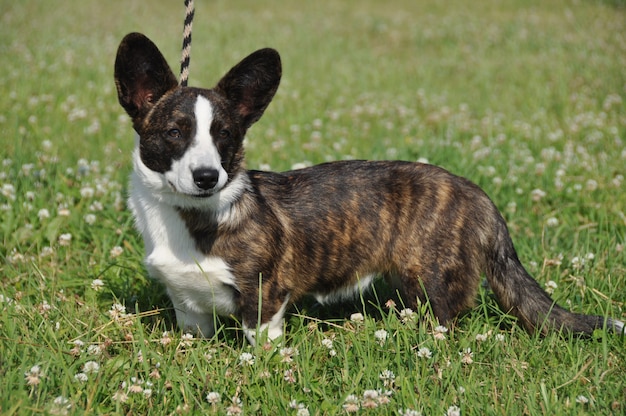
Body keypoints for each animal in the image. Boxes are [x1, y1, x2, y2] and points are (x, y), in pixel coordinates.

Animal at [114, 32, 620, 344]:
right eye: (175, 133)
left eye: (225, 136)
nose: (207, 177)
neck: (188, 215)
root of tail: (477, 194)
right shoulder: (189, 311)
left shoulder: (265, 298)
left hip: (433, 284)